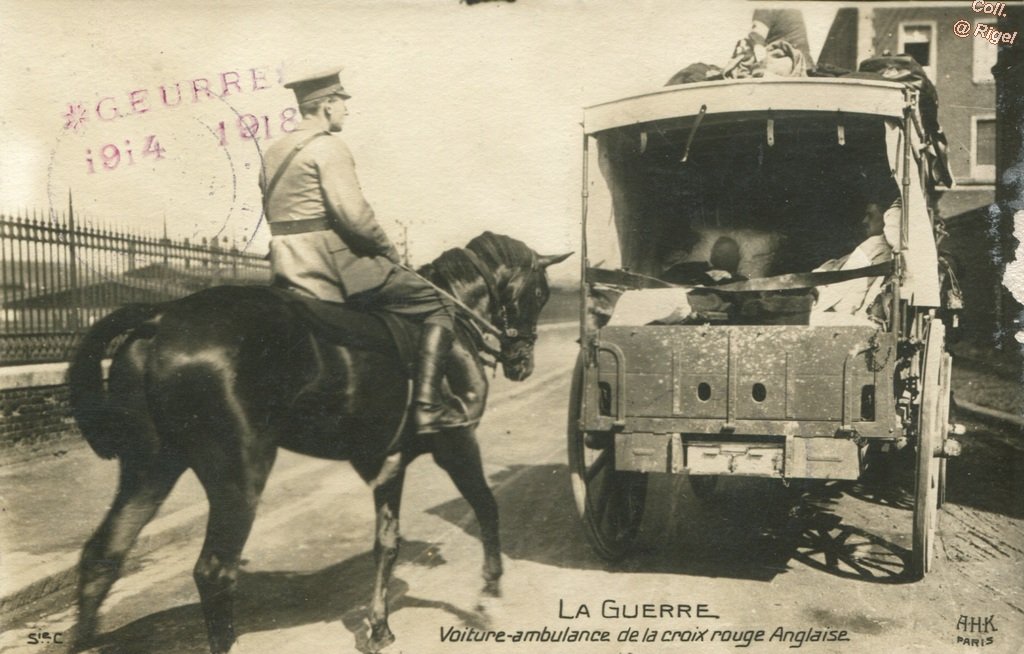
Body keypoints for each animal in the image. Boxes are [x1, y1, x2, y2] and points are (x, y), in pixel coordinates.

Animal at [68, 233, 573, 650]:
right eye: (540, 293)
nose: (522, 362)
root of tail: (161, 316)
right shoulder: (457, 443)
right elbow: (486, 505)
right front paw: (489, 595)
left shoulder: (387, 460)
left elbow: (386, 542)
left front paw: (379, 626)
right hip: (238, 475)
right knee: (214, 571)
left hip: (151, 466)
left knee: (102, 556)